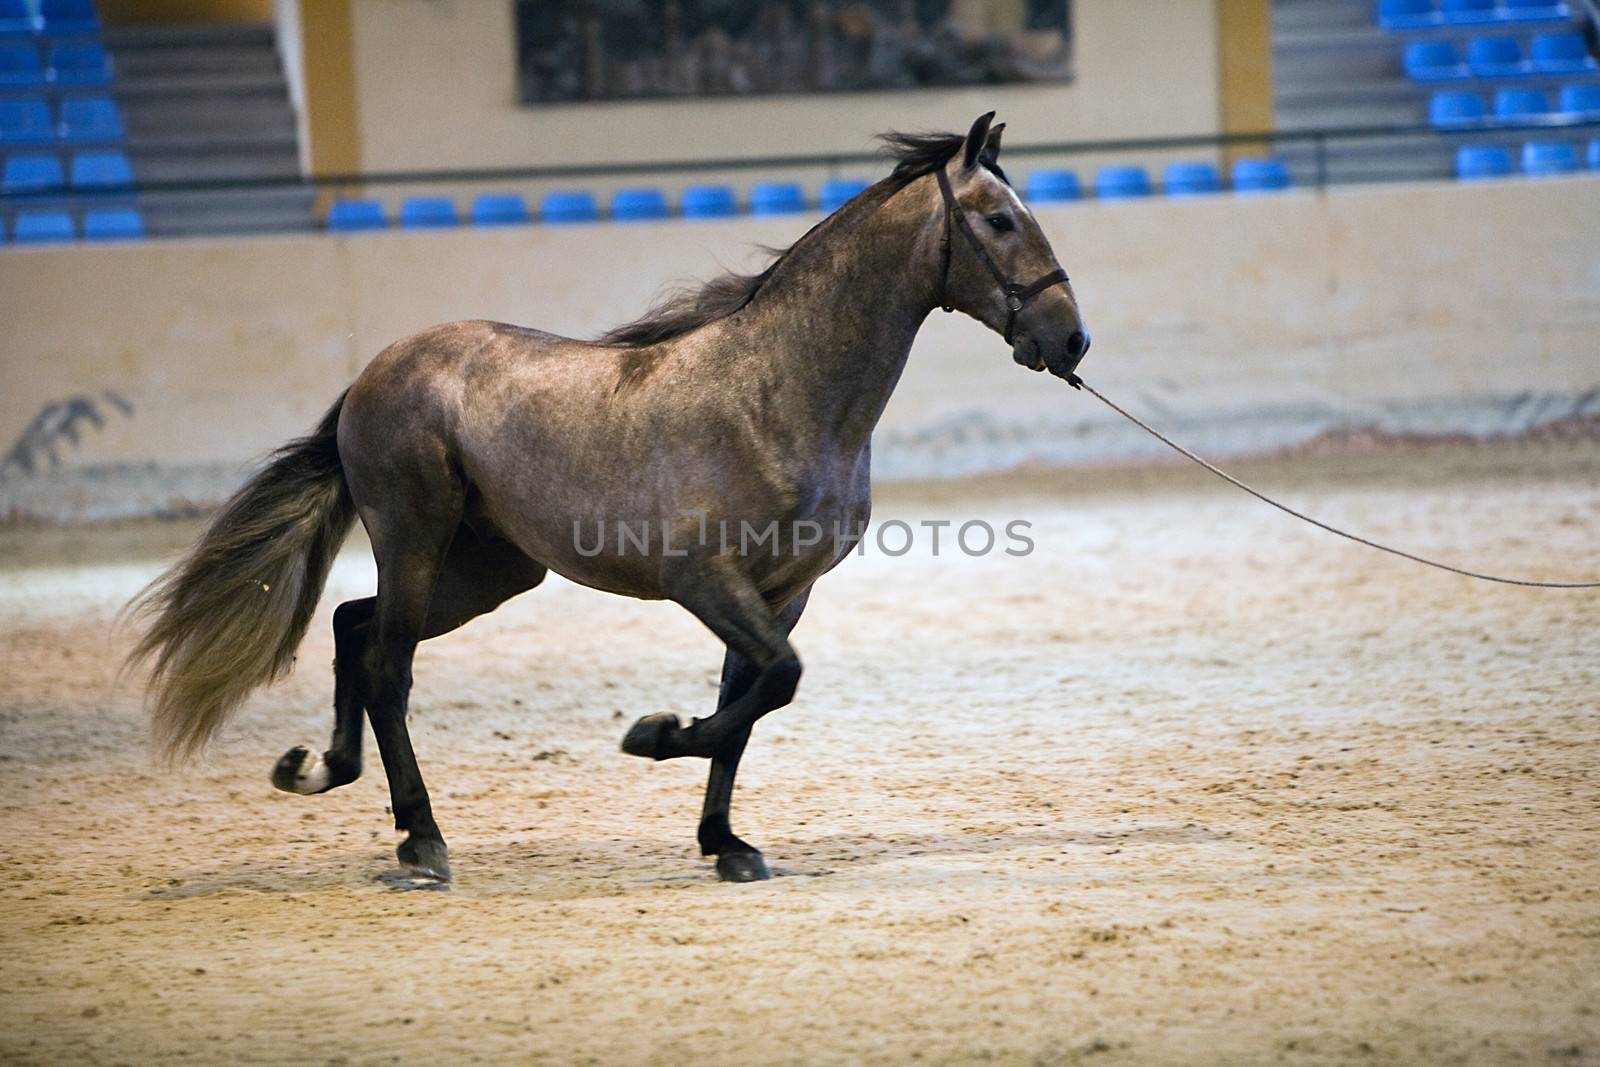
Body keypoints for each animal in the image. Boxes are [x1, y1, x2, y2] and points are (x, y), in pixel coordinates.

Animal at [131, 112, 1094, 889]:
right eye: (1001, 220)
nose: (1072, 339)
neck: (778, 391)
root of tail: (376, 372)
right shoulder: (703, 579)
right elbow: (773, 682)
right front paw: (654, 733)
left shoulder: (782, 591)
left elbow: (751, 701)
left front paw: (727, 843)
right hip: (414, 538)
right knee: (387, 666)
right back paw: (422, 843)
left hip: (488, 571)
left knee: (353, 628)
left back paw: (328, 774)